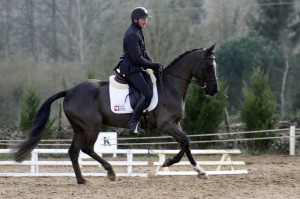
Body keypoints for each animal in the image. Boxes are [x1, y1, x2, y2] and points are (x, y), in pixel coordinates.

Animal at [13, 44, 218, 184]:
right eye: (209, 66)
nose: (214, 90)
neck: (170, 86)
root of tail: (69, 91)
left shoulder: (176, 123)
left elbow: (186, 143)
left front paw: (200, 171)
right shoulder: (166, 124)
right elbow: (186, 142)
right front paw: (167, 162)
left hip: (79, 128)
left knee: (73, 151)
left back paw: (82, 180)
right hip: (92, 125)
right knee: (87, 148)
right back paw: (110, 172)